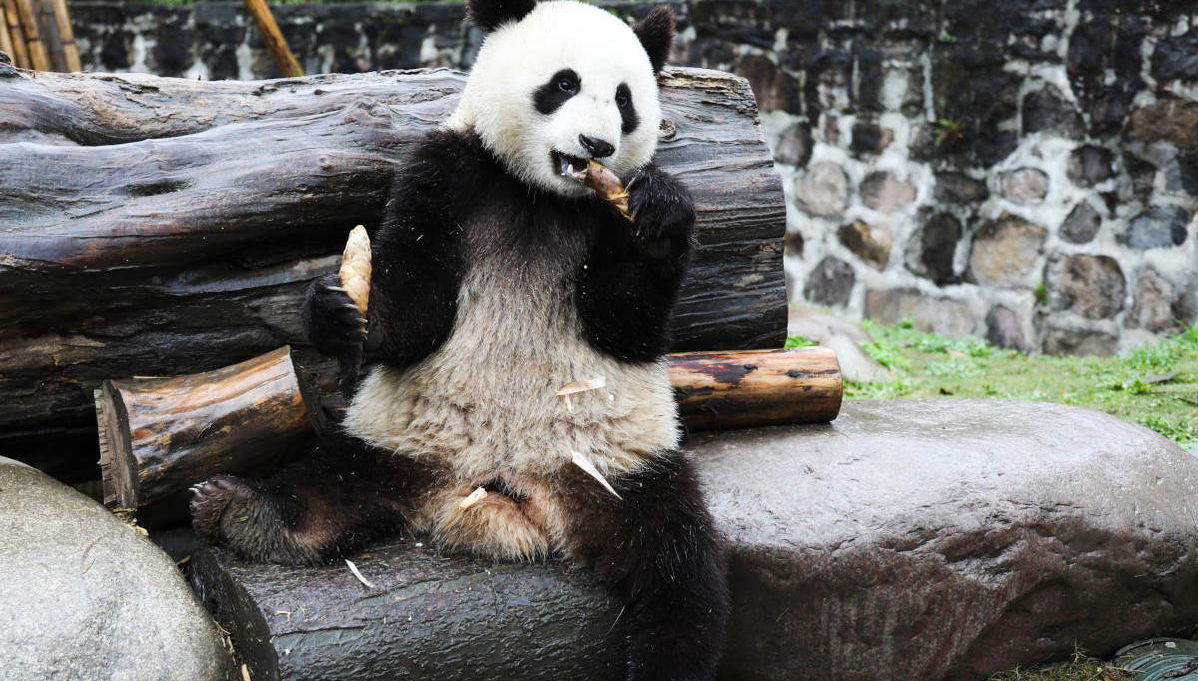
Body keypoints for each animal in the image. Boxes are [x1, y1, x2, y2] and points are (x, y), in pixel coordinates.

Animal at [189, 1, 730, 679]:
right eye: (564, 83)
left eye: (625, 99)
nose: (597, 146)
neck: (544, 197)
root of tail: (500, 491)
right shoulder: (447, 172)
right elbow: (417, 310)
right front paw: (337, 311)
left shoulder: (606, 216)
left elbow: (625, 326)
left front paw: (660, 212)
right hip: (392, 435)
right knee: (330, 477)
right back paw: (246, 513)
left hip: (618, 467)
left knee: (680, 570)